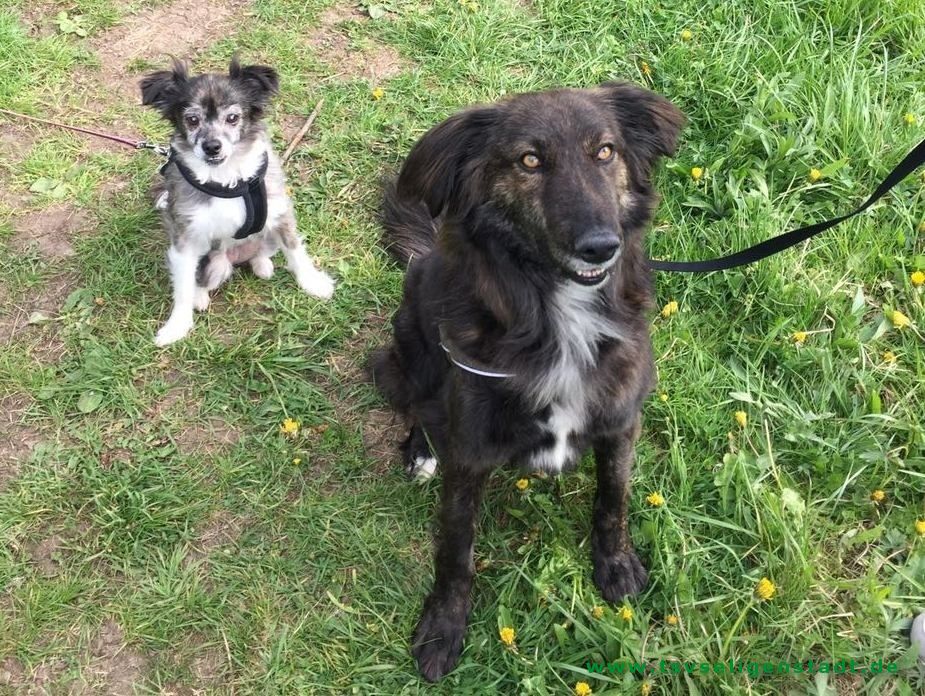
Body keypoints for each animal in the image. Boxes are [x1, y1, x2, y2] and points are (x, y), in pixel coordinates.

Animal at [140, 58, 334, 346]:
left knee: (262, 252)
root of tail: (238, 256)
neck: (227, 178)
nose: (212, 147)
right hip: (215, 262)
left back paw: (262, 265)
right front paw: (177, 326)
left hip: (266, 237)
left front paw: (314, 283)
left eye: (232, 118)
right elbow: (183, 285)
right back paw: (201, 296)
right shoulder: (186, 237)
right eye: (192, 120)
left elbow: (296, 250)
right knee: (199, 278)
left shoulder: (280, 213)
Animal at [371, 82, 684, 681]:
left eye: (604, 152)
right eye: (530, 161)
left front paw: (615, 564)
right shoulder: (469, 455)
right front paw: (443, 627)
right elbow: (456, 551)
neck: (556, 309)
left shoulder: (620, 421)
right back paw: (419, 451)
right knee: (420, 405)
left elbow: (614, 500)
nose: (600, 245)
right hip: (409, 348)